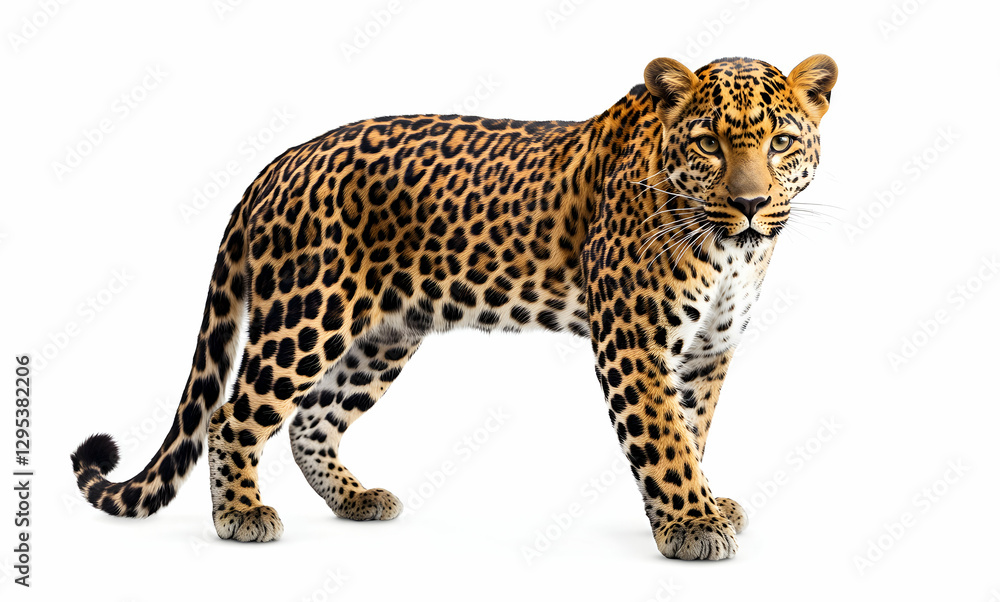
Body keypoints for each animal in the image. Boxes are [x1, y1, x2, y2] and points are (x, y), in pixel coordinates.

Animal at [71, 54, 837, 560]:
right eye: (709, 143)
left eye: (781, 142)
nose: (750, 203)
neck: (733, 252)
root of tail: (278, 163)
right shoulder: (634, 342)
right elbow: (663, 437)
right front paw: (691, 526)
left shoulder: (709, 350)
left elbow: (691, 430)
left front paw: (704, 504)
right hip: (305, 316)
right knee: (233, 415)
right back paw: (242, 515)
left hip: (383, 335)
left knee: (311, 421)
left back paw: (356, 500)